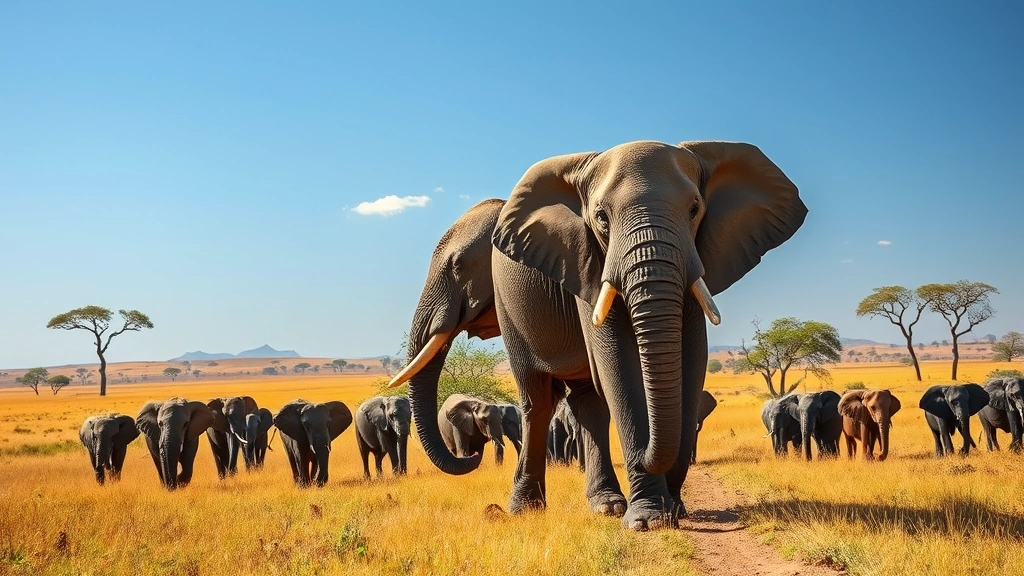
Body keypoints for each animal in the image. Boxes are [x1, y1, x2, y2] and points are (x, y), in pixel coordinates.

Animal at [389, 140, 806, 529]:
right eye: (601, 218)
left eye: (694, 210)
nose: (472, 457)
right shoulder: (585, 262)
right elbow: (618, 365)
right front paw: (648, 520)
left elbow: (692, 359)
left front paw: (672, 509)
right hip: (514, 312)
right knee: (538, 399)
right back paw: (527, 510)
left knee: (586, 402)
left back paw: (604, 506)